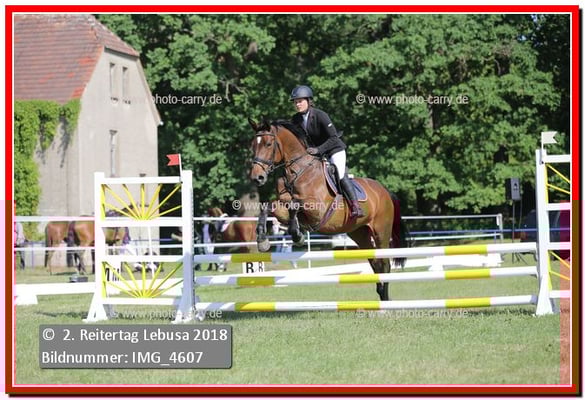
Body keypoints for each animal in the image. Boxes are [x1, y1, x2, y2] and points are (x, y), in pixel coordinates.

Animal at [248, 118, 409, 301]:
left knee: (385, 263)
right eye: (253, 145)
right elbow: (269, 207)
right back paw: (381, 294)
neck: (297, 171)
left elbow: (295, 204)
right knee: (375, 263)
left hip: (381, 231)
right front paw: (262, 240)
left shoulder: (317, 210)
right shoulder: (283, 206)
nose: (257, 177)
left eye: (268, 144)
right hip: (360, 233)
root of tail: (385, 191)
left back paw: (386, 298)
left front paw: (297, 234)